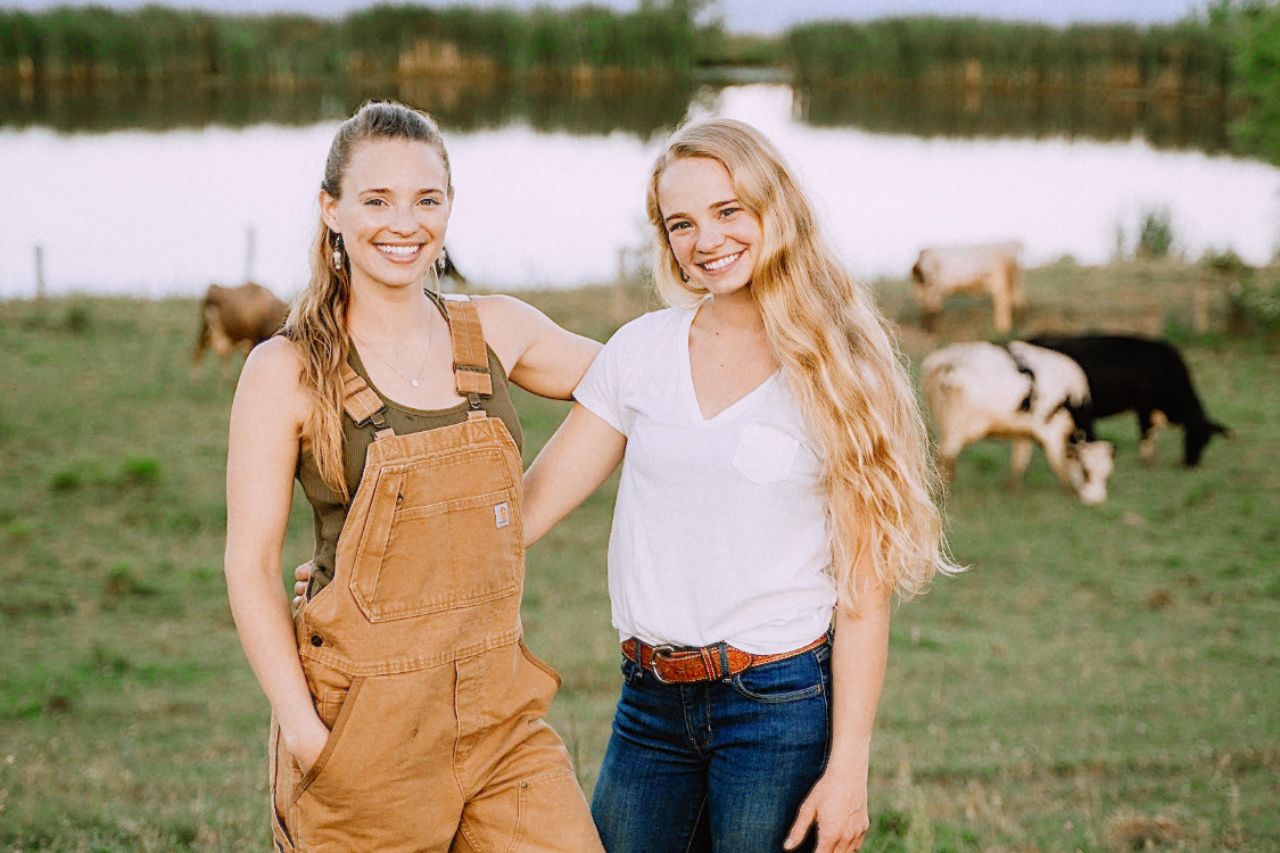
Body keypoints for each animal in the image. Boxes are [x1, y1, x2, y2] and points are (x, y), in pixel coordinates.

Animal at [921, 338, 1111, 502]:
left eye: (1106, 474)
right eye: (1086, 471)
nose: (1096, 500)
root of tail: (941, 360)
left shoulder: (1024, 433)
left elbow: (1019, 462)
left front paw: (1011, 490)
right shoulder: (1051, 432)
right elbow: (1059, 465)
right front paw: (1068, 493)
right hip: (955, 429)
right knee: (945, 458)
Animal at [1018, 333, 1228, 466]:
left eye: (1207, 440)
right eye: (1197, 437)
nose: (1192, 463)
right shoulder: (1145, 405)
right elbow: (1146, 432)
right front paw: (1146, 459)